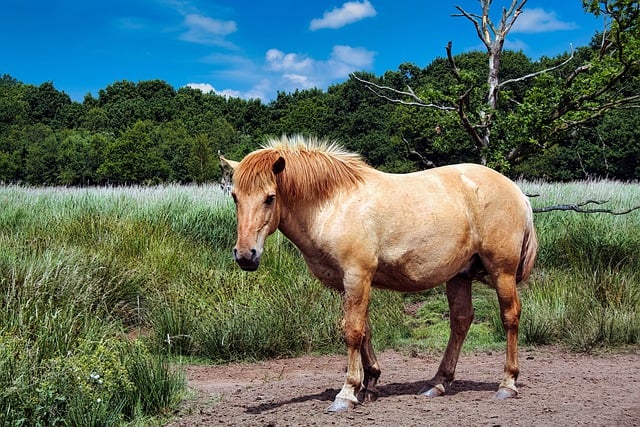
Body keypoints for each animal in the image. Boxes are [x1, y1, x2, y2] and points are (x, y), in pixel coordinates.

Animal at [222, 135, 536, 412]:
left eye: (270, 198)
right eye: (235, 197)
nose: (245, 256)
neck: (335, 204)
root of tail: (516, 191)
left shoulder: (357, 276)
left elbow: (352, 331)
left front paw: (347, 393)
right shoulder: (349, 283)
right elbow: (364, 330)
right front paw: (370, 383)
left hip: (502, 271)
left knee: (510, 316)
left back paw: (507, 384)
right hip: (459, 276)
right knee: (460, 321)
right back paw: (437, 383)